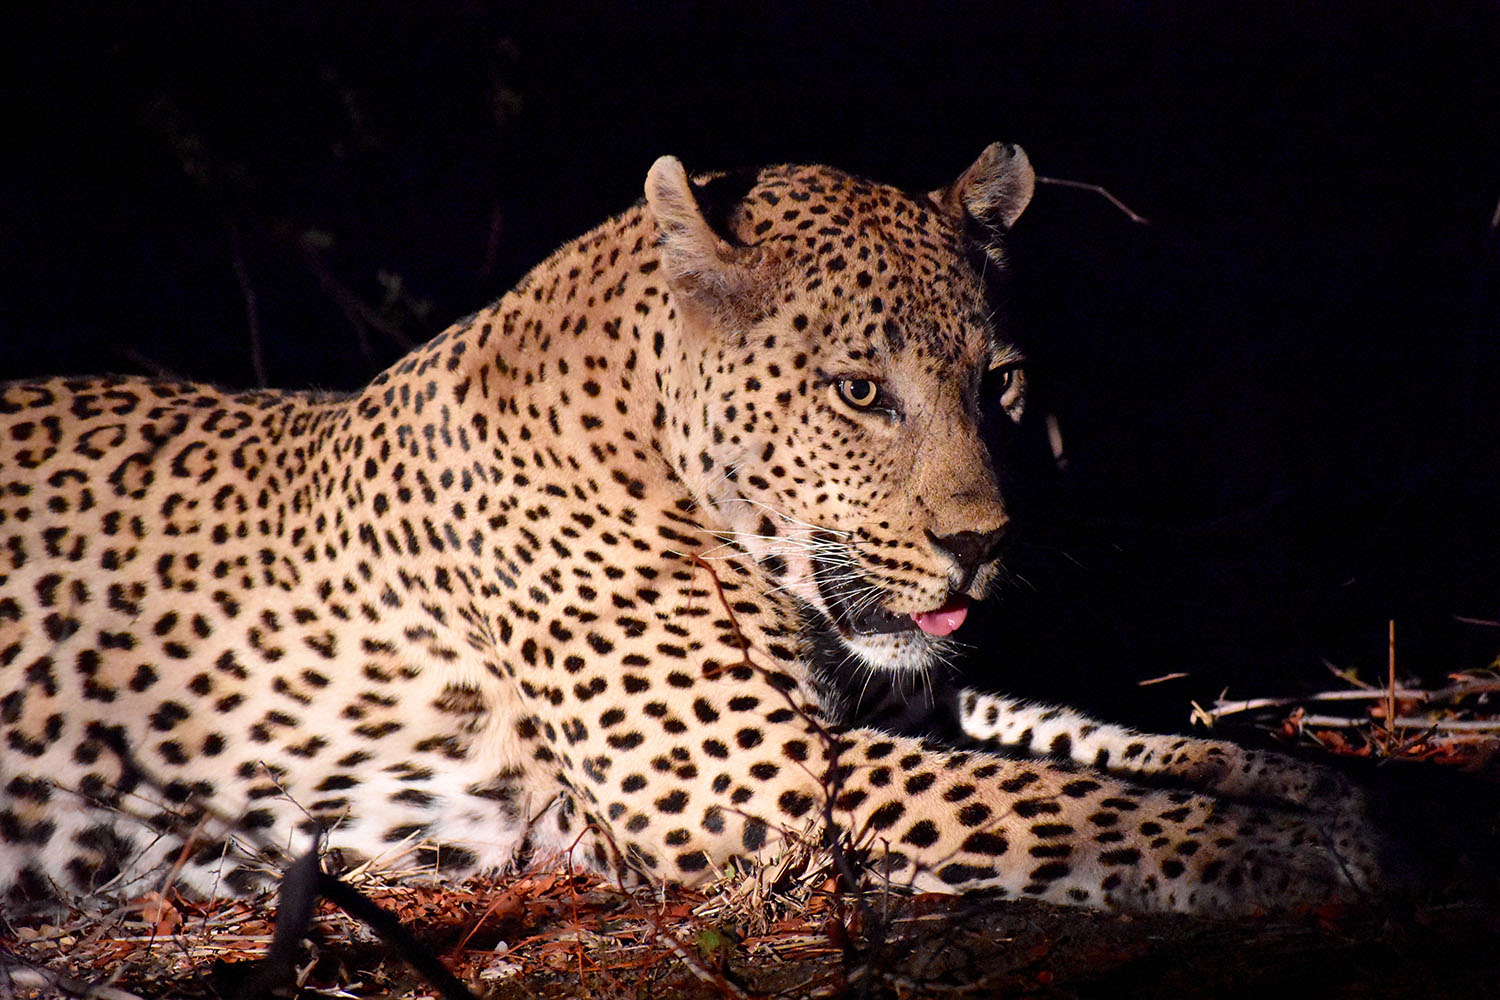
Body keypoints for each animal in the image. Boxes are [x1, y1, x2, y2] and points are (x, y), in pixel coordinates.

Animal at [0, 143, 1384, 917]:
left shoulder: (879, 703)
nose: (983, 545)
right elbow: (1062, 804)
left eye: (1001, 381)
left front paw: (1322, 795)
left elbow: (1087, 740)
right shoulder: (740, 777)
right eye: (859, 391)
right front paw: (1296, 859)